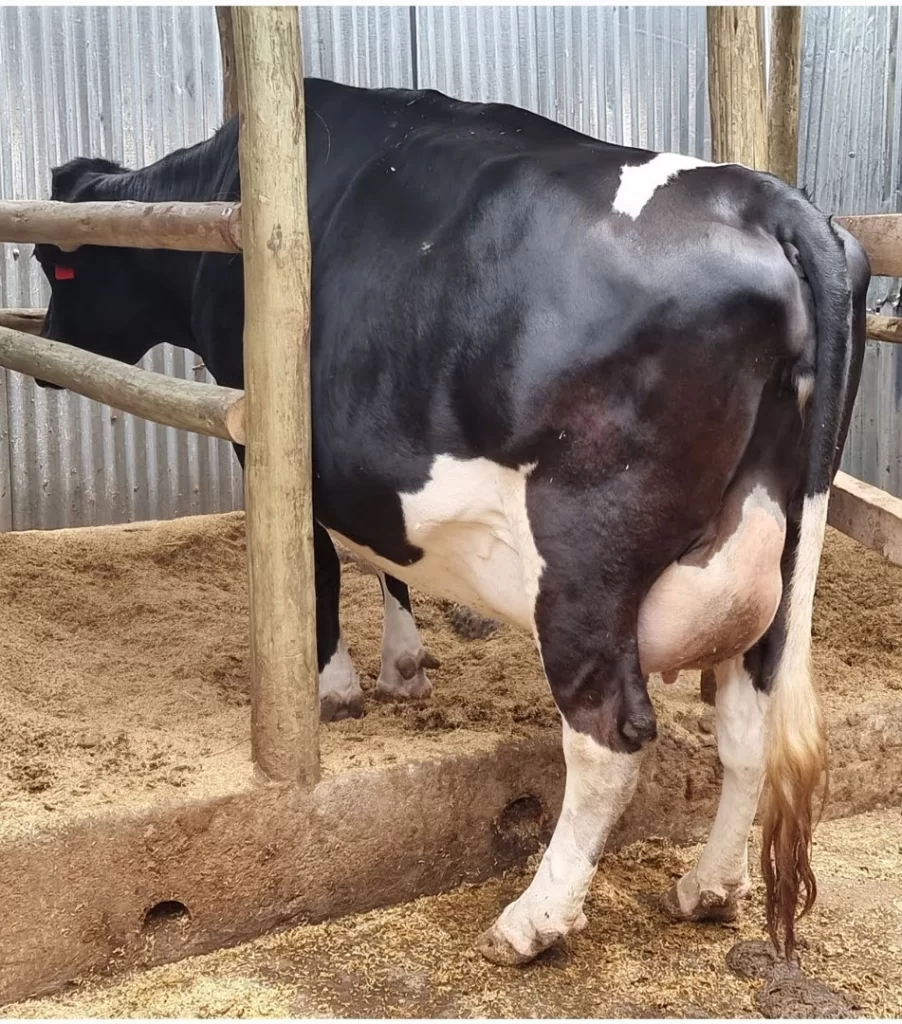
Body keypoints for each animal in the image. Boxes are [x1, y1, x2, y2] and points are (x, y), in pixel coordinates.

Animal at [30, 78, 869, 965]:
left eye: (57, 262)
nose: (48, 350)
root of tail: (765, 197)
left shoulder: (265, 435)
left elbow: (314, 560)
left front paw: (335, 687)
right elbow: (387, 555)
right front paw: (404, 665)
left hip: (586, 558)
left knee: (607, 737)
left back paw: (531, 921)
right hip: (776, 545)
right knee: (751, 718)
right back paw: (707, 887)